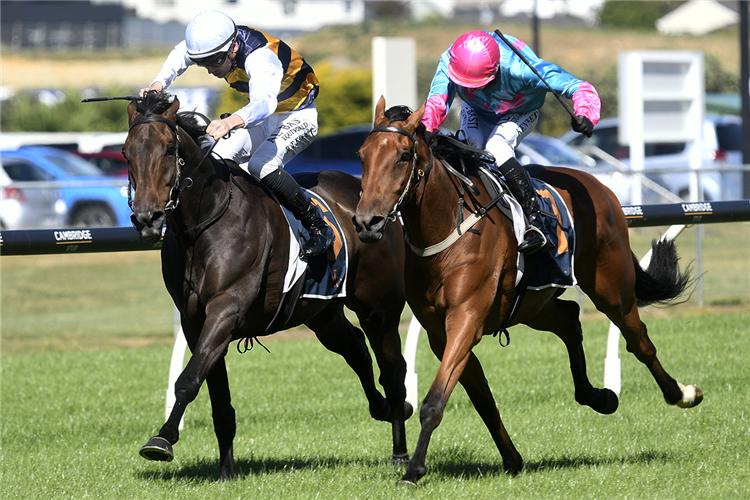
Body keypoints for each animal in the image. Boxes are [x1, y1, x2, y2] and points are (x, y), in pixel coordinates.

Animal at [126, 92, 414, 482]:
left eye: (170, 149)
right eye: (126, 152)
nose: (147, 218)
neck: (203, 225)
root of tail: (370, 199)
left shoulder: (226, 309)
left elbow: (187, 379)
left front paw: (163, 438)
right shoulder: (195, 321)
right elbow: (216, 396)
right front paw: (226, 473)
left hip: (378, 308)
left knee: (393, 370)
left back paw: (400, 451)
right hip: (322, 312)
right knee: (355, 348)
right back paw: (382, 408)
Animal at [356, 95, 704, 486]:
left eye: (403, 155)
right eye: (362, 155)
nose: (366, 222)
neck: (448, 227)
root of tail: (596, 184)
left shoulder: (465, 320)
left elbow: (434, 400)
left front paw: (414, 469)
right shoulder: (440, 333)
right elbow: (482, 399)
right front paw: (512, 458)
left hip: (611, 289)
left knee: (638, 340)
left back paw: (681, 393)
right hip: (532, 304)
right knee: (570, 320)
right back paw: (599, 397)